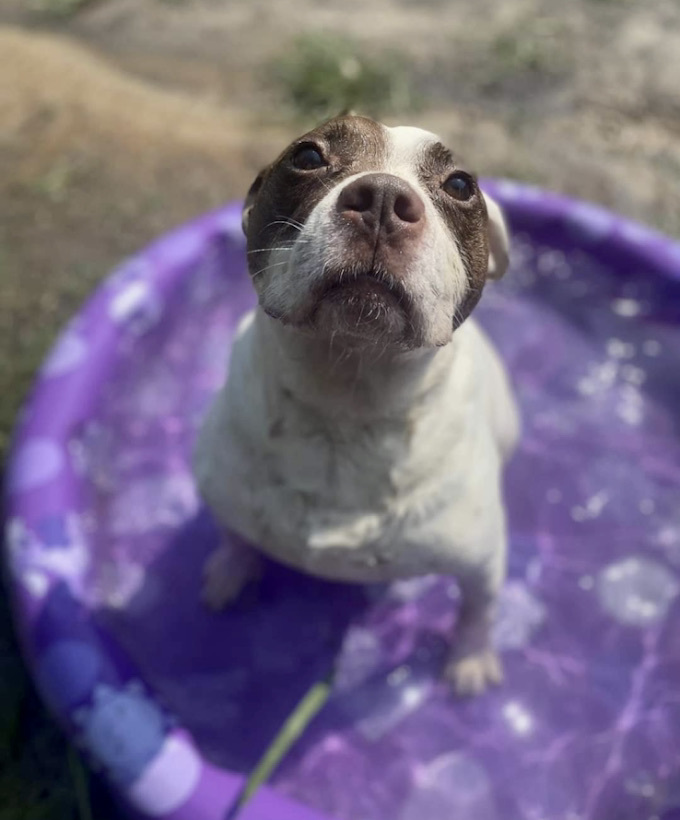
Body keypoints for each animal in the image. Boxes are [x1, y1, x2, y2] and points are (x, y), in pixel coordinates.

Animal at [193, 112, 520, 696]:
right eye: (307, 156)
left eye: (460, 185)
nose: (383, 198)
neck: (346, 404)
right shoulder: (223, 491)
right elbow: (235, 536)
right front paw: (231, 570)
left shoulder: (482, 559)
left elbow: (478, 609)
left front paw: (471, 658)